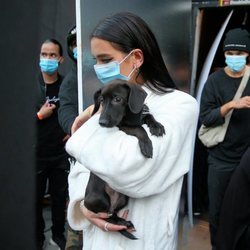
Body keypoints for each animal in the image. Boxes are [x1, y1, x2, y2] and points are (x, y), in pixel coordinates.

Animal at [84, 79, 165, 238]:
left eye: (117, 99)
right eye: (101, 100)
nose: (101, 123)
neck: (132, 116)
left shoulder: (142, 114)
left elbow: (148, 116)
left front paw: (156, 126)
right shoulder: (122, 126)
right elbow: (138, 128)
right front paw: (146, 144)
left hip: (124, 198)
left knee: (112, 213)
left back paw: (123, 222)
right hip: (99, 198)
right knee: (106, 215)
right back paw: (122, 223)